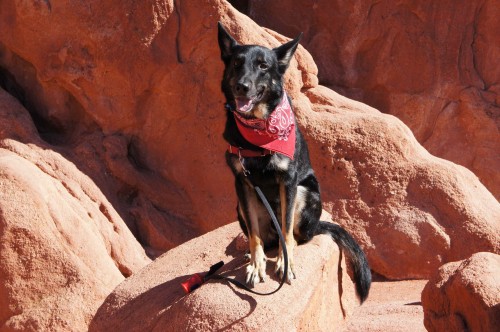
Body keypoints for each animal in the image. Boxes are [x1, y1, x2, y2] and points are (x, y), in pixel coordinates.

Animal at [217, 22, 370, 302]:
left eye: (263, 65)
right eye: (236, 63)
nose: (242, 86)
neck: (258, 133)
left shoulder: (287, 182)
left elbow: (287, 230)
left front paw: (284, 264)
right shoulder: (242, 183)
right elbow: (254, 236)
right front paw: (256, 265)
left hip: (305, 193)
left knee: (296, 237)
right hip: (241, 206)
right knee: (264, 238)